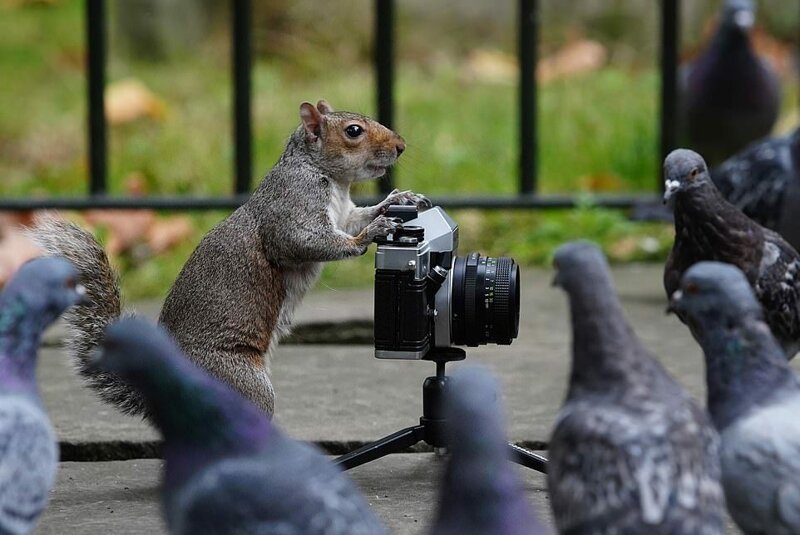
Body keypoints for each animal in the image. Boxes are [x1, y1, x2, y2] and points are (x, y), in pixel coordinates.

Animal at [29, 100, 432, 418]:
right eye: (353, 131)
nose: (401, 146)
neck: (329, 178)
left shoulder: (343, 214)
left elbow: (353, 220)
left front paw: (399, 199)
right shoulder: (291, 208)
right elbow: (305, 241)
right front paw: (374, 231)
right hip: (238, 381)